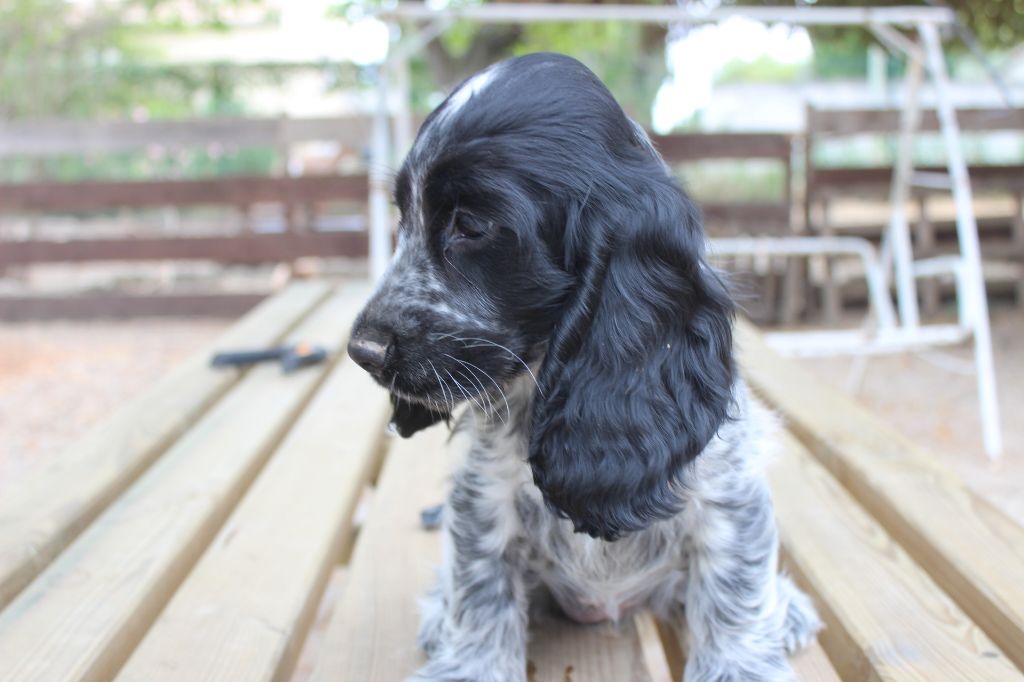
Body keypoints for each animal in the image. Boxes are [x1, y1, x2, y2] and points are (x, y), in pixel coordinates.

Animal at [347, 52, 821, 682]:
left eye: (470, 226)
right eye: (403, 217)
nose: (362, 351)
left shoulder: (728, 494)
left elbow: (734, 588)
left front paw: (739, 662)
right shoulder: (483, 497)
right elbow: (480, 588)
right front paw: (469, 662)